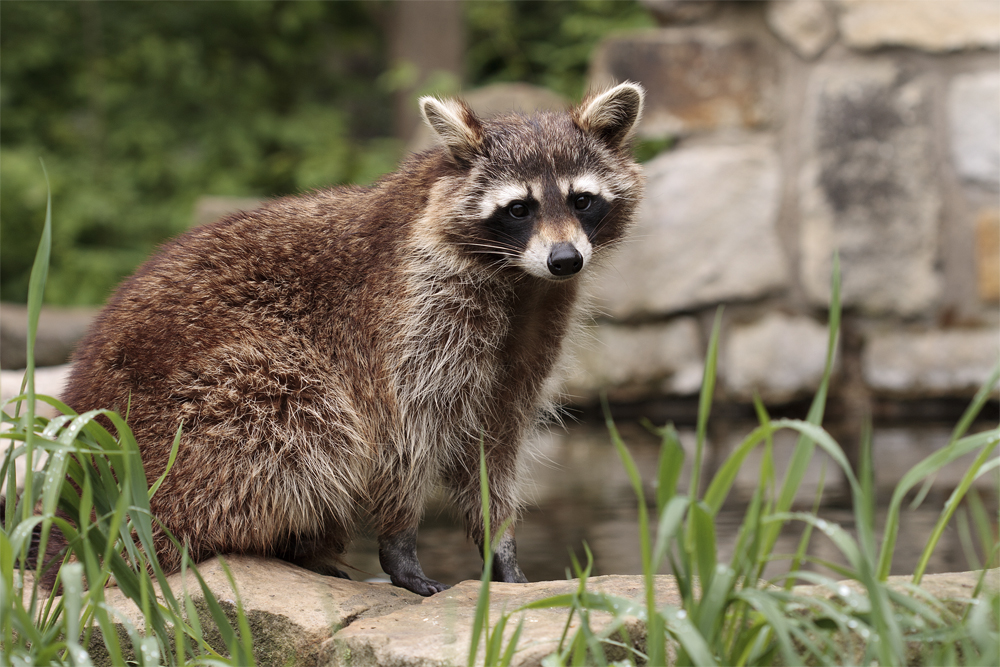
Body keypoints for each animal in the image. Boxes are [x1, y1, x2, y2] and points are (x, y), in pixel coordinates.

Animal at [58, 81, 644, 596]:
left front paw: (500, 545)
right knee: (303, 418)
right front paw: (400, 544)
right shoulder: (410, 312)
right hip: (193, 414)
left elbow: (495, 440)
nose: (565, 260)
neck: (520, 279)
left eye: (582, 200)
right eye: (519, 208)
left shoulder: (534, 328)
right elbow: (402, 427)